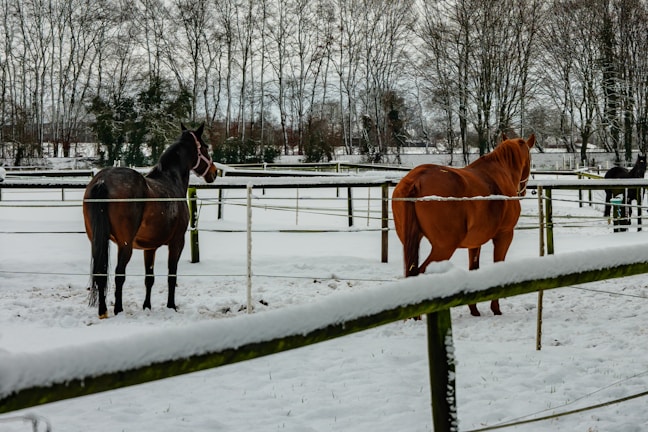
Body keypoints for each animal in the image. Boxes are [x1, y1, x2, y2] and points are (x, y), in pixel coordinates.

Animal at [83, 123, 217, 318]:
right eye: (206, 147)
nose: (214, 172)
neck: (171, 180)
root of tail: (102, 181)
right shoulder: (177, 242)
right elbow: (171, 276)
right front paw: (171, 306)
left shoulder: (149, 248)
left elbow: (149, 278)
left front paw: (147, 306)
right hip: (125, 245)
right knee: (119, 274)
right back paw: (118, 309)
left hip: (96, 241)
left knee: (101, 273)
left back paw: (103, 311)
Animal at [392, 134, 535, 316]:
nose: (523, 191)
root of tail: (416, 181)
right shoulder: (504, 235)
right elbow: (497, 265)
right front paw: (495, 309)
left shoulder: (474, 243)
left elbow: (473, 269)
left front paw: (474, 310)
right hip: (443, 247)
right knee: (421, 272)